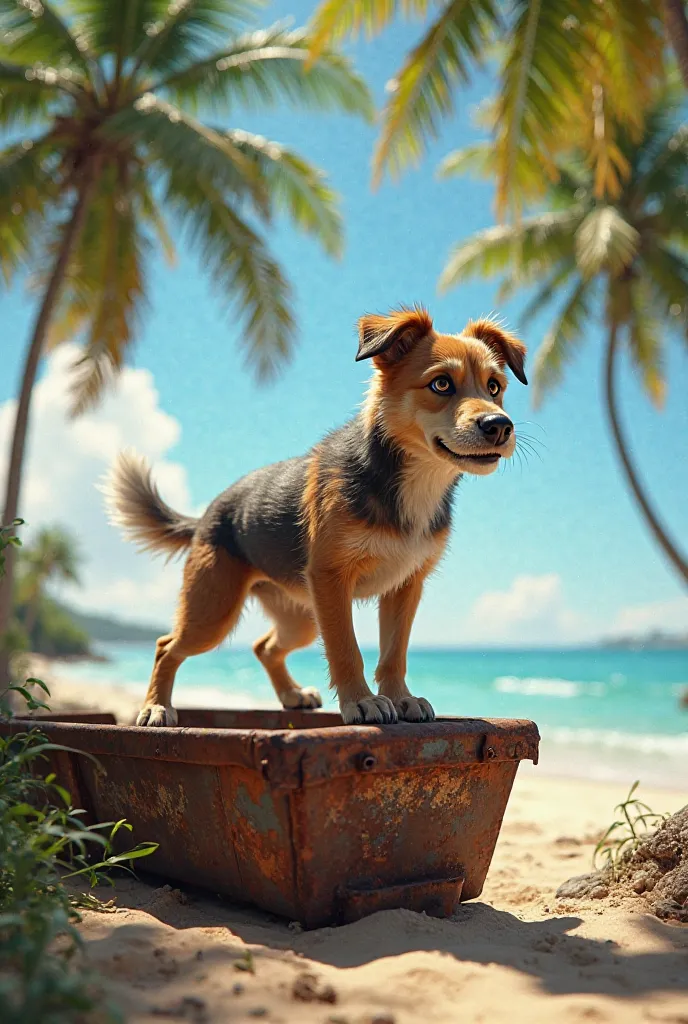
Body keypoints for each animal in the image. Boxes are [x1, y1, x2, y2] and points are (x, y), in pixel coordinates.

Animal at [104, 305, 528, 729]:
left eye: (494, 387)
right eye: (441, 384)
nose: (499, 426)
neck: (412, 480)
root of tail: (208, 513)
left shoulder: (405, 586)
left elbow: (395, 651)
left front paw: (401, 697)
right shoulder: (331, 579)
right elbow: (345, 647)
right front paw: (362, 702)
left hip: (300, 618)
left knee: (264, 647)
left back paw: (292, 695)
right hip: (214, 609)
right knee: (166, 645)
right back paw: (156, 707)